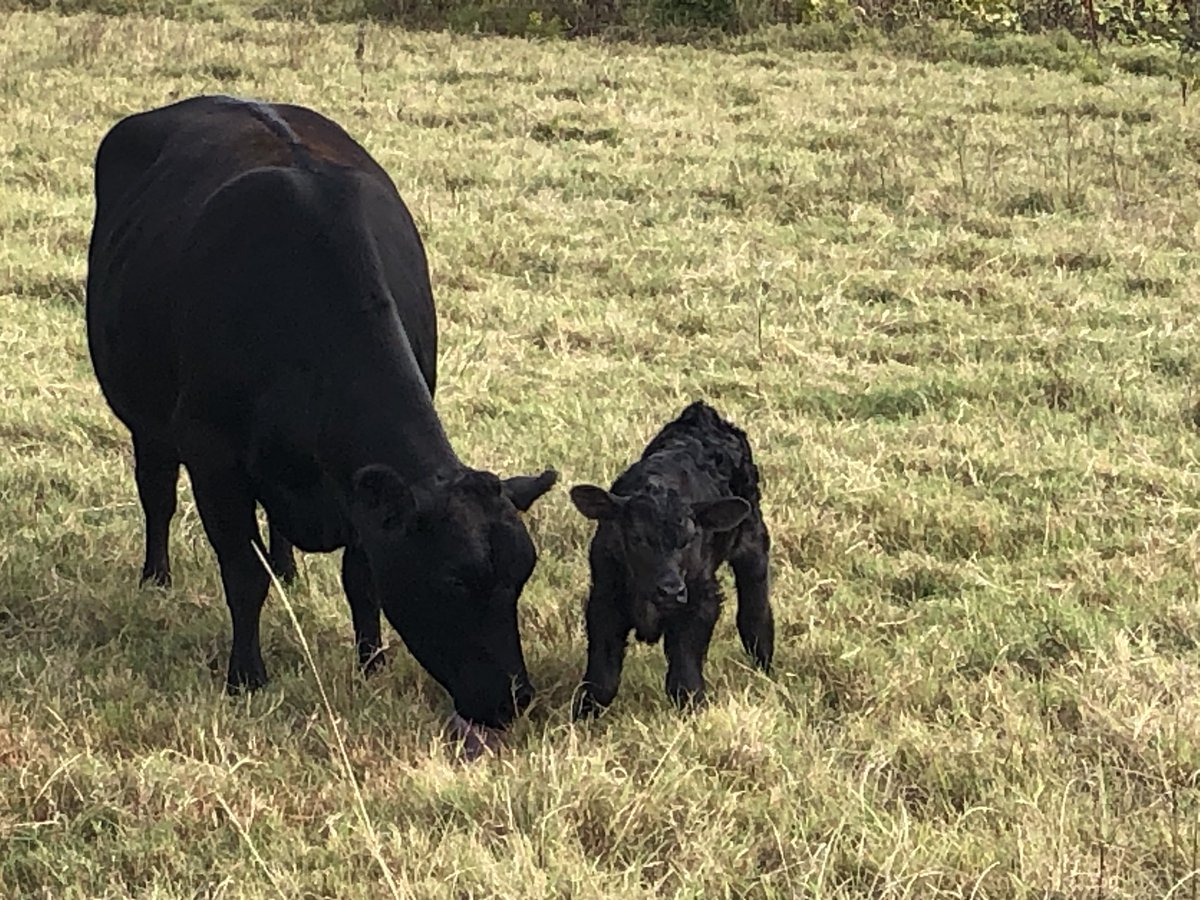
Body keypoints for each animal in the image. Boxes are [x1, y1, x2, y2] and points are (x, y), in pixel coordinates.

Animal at [85, 94, 557, 750]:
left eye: (523, 575)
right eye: (454, 581)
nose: (513, 698)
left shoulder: (362, 488)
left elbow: (361, 578)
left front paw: (371, 663)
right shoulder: (214, 461)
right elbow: (242, 573)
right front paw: (246, 676)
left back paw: (288, 568)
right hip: (145, 417)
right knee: (156, 492)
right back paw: (156, 579)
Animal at [568, 401, 773, 717]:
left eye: (689, 538)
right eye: (637, 538)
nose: (670, 590)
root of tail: (702, 414)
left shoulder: (701, 598)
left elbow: (684, 679)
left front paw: (695, 713)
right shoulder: (604, 598)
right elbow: (602, 678)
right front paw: (583, 716)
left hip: (752, 537)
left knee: (755, 610)